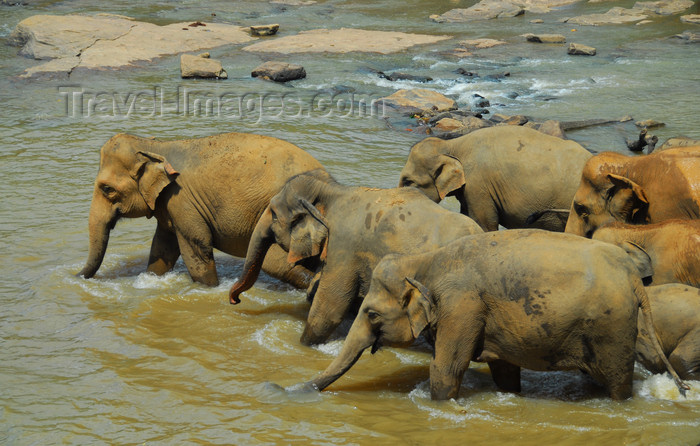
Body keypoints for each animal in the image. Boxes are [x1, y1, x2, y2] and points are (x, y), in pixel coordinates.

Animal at [79, 131, 326, 288]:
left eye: (107, 189)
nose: (78, 277)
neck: (156, 147)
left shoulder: (182, 201)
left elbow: (198, 248)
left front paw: (209, 290)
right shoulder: (169, 205)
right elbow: (162, 247)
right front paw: (151, 279)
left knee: (274, 262)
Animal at [227, 171, 484, 344]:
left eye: (272, 214)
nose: (234, 301)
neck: (333, 191)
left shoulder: (344, 246)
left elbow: (329, 309)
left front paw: (302, 346)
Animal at [308, 230, 688, 400]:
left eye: (371, 314)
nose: (302, 390)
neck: (425, 260)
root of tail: (632, 275)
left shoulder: (462, 306)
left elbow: (445, 370)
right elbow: (505, 371)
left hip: (612, 326)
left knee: (617, 380)